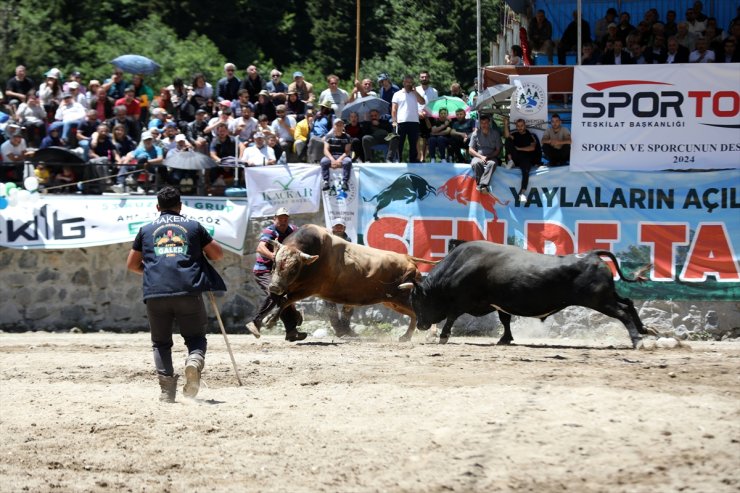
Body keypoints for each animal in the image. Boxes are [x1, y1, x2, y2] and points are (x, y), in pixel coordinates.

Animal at [266, 223, 436, 338]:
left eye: (294, 268)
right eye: (275, 262)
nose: (274, 287)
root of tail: (407, 258)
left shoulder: (308, 289)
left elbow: (285, 300)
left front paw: (270, 321)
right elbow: (284, 301)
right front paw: (295, 318)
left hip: (402, 297)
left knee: (421, 311)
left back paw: (430, 334)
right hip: (392, 301)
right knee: (414, 314)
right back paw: (406, 337)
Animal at [398, 241, 652, 346]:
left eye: (416, 300)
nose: (422, 325)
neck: (459, 265)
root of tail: (590, 255)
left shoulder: (462, 302)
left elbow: (451, 317)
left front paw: (443, 337)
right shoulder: (497, 303)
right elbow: (505, 320)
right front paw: (505, 339)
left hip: (599, 300)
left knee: (623, 312)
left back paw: (638, 340)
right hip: (607, 296)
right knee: (628, 303)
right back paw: (646, 330)